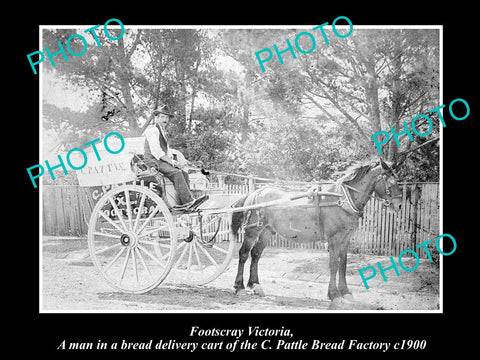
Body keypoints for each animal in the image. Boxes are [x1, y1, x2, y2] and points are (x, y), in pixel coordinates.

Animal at [231, 159, 404, 300]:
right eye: (391, 182)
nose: (399, 205)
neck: (342, 199)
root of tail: (255, 192)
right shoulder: (334, 239)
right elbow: (334, 265)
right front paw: (333, 293)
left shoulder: (345, 239)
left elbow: (343, 264)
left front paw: (345, 291)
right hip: (252, 231)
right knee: (244, 254)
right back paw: (239, 286)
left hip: (267, 231)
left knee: (256, 254)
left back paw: (255, 285)